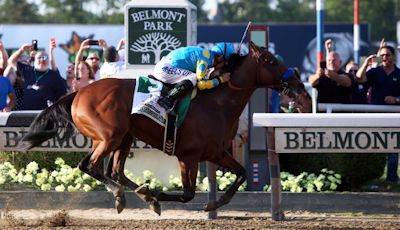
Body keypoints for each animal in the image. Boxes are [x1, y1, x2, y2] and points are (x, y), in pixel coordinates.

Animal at [21, 41, 310, 216]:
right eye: (270, 60)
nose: (302, 91)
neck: (217, 103)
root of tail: (77, 93)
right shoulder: (188, 156)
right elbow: (188, 194)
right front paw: (159, 193)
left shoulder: (216, 153)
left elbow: (241, 174)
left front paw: (215, 202)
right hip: (109, 136)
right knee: (89, 166)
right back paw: (129, 196)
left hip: (124, 137)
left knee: (116, 171)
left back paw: (140, 196)